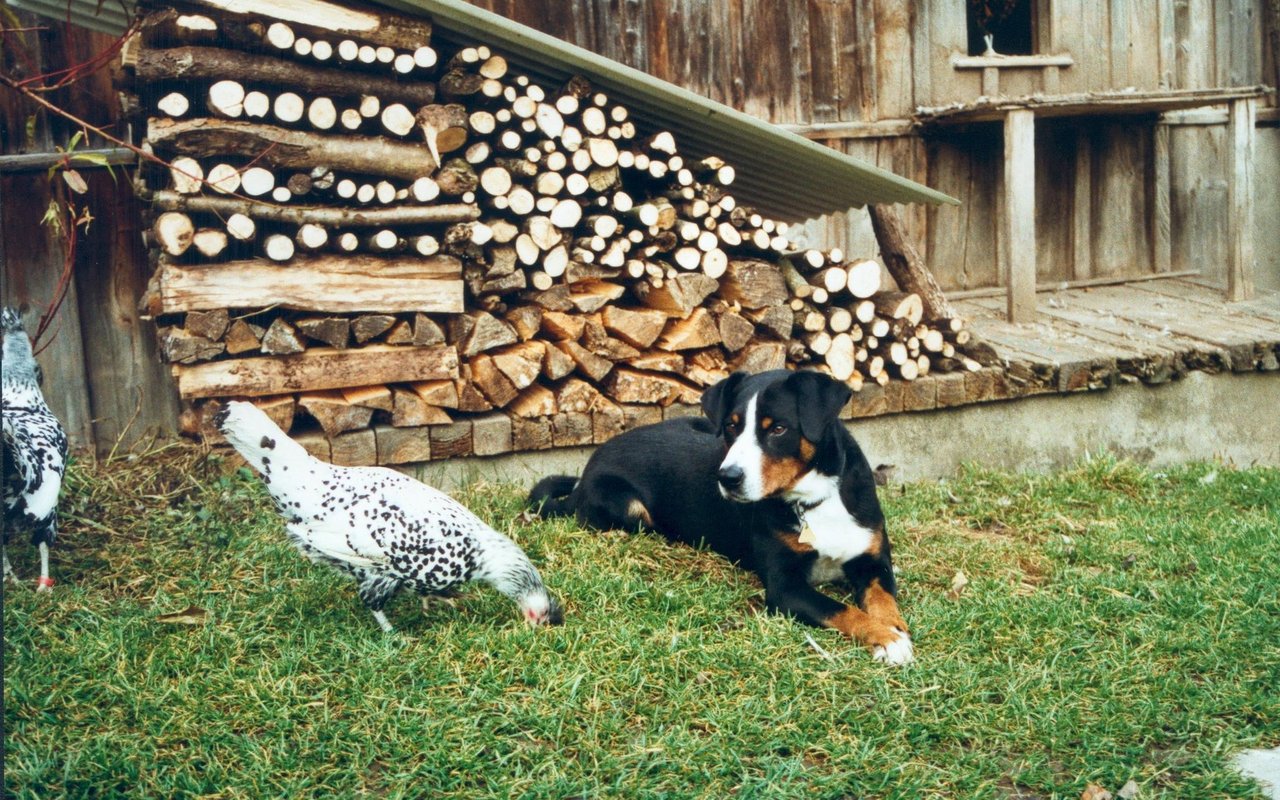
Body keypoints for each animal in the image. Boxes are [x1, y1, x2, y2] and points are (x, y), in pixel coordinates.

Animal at [527, 366, 911, 660]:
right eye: (732, 426)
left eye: (778, 428)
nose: (728, 478)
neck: (814, 499)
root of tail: (586, 471)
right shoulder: (785, 587)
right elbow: (844, 610)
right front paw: (886, 638)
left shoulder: (871, 559)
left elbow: (883, 599)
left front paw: (894, 628)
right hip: (628, 506)